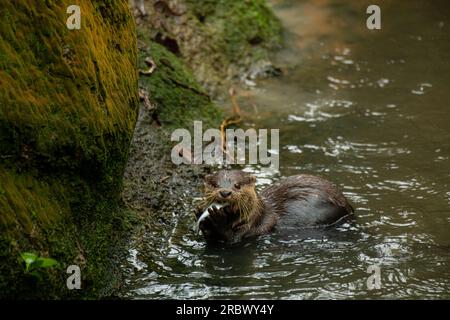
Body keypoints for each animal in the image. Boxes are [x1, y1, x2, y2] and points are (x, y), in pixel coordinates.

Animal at [197, 170, 356, 242]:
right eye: (215, 185)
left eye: (237, 185)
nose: (225, 192)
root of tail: (347, 204)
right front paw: (198, 212)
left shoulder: (252, 224)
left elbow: (231, 238)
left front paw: (217, 219)